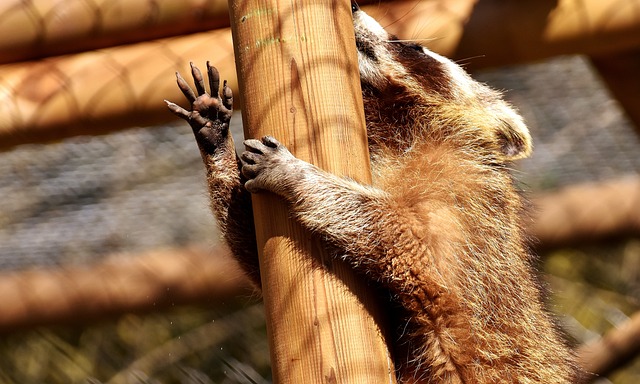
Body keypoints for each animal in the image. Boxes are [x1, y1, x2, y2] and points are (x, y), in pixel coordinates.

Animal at [166, 3, 580, 384]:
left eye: (413, 46)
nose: (353, 5)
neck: (395, 129)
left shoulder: (466, 204)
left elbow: (409, 242)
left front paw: (300, 176)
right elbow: (257, 260)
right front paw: (217, 144)